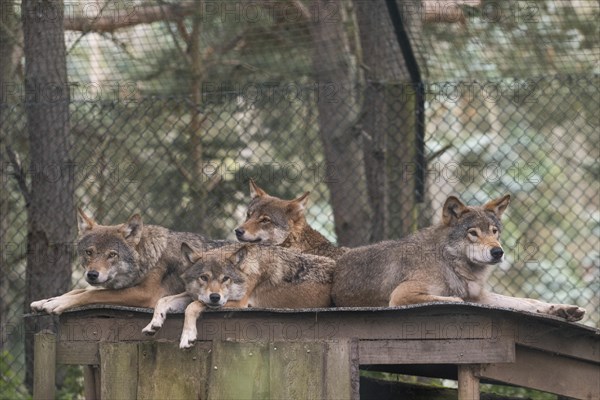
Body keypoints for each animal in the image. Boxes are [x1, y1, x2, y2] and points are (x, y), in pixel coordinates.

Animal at [29, 208, 230, 314]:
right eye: (89, 252)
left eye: (112, 255)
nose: (92, 274)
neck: (149, 258)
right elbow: (81, 290)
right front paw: (46, 300)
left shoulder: (145, 293)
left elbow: (91, 294)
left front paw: (57, 304)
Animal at [142, 242, 336, 348]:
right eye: (204, 277)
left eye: (225, 278)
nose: (215, 297)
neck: (247, 270)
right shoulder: (196, 295)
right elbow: (163, 300)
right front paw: (153, 323)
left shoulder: (239, 303)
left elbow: (191, 307)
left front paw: (187, 337)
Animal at [328, 194, 584, 322]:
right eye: (473, 233)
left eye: (494, 231)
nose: (498, 252)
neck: (449, 264)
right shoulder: (401, 296)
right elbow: (455, 299)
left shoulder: (481, 296)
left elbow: (528, 302)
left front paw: (561, 309)